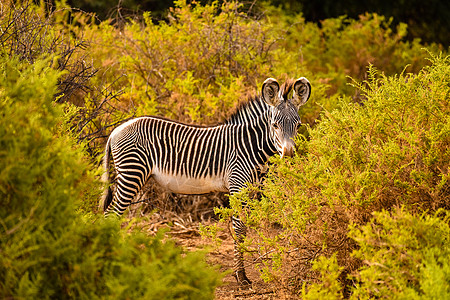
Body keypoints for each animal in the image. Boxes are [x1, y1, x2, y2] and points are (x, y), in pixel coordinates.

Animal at [102, 76, 312, 284]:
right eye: (274, 125)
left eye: (298, 125)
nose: (289, 155)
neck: (250, 145)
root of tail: (116, 130)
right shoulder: (237, 184)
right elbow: (239, 228)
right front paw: (241, 276)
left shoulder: (250, 189)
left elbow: (245, 228)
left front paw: (240, 273)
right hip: (132, 173)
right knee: (111, 214)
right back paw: (109, 263)